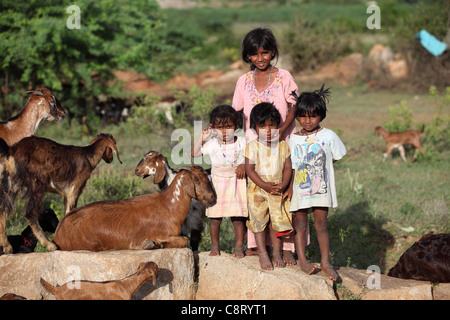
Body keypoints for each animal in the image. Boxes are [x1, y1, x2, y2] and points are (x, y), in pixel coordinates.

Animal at [54, 165, 216, 252]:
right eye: (196, 180)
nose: (213, 197)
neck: (169, 206)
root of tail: (58, 232)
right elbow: (184, 240)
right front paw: (151, 244)